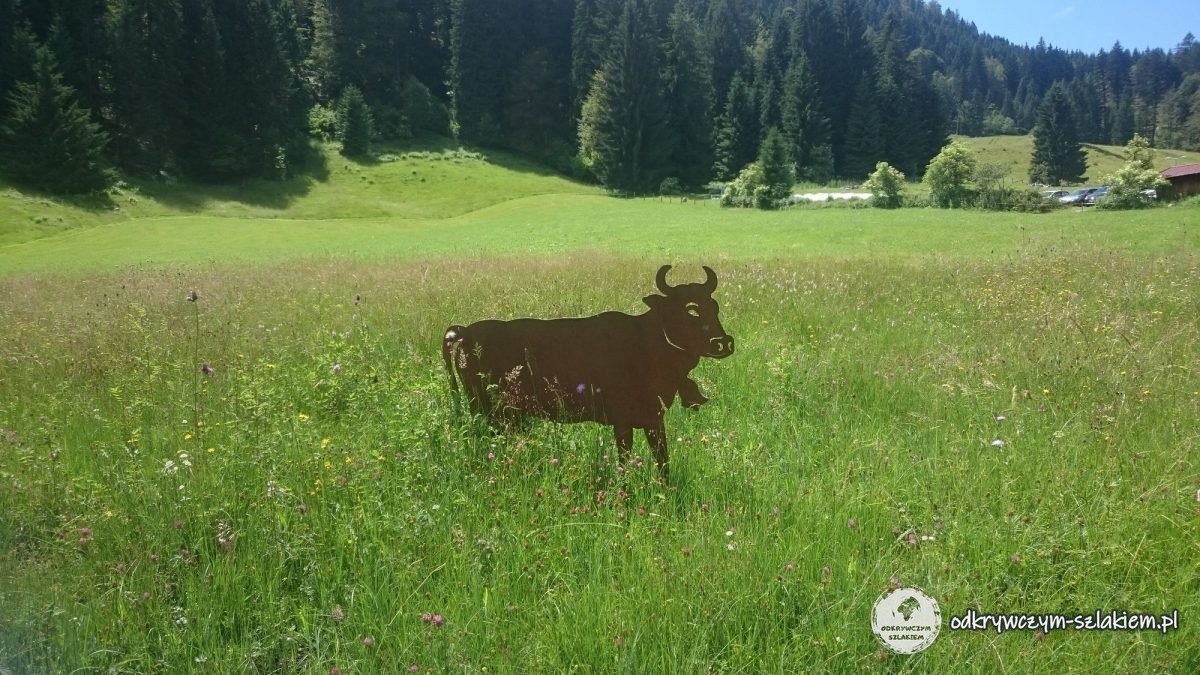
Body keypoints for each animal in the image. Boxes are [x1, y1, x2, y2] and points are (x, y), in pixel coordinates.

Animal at [441, 265, 734, 482]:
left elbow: (663, 461)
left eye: (715, 306)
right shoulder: (623, 421)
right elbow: (625, 461)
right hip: (489, 411)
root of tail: (465, 331)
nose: (722, 343)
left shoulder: (654, 419)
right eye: (691, 309)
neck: (646, 344)